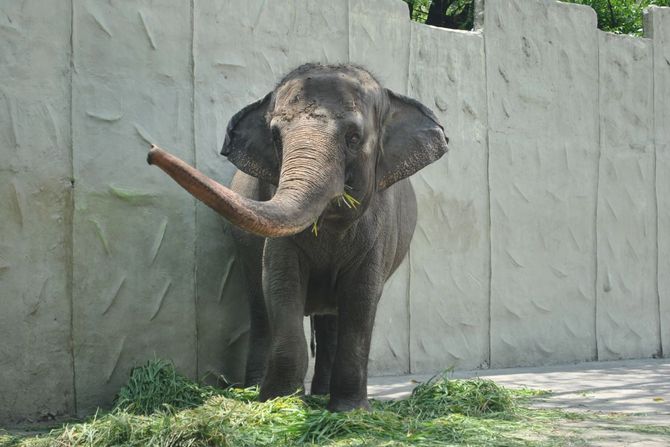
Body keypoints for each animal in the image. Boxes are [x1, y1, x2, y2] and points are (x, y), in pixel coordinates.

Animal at [148, 64, 452, 412]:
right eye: (275, 137)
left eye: (353, 138)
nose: (151, 151)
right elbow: (280, 282)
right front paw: (278, 403)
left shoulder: (380, 226)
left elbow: (362, 296)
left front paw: (349, 410)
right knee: (260, 304)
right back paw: (257, 388)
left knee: (331, 317)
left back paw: (321, 393)